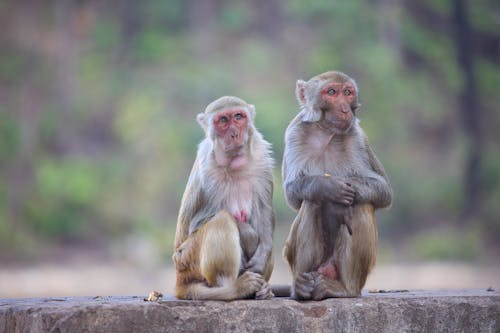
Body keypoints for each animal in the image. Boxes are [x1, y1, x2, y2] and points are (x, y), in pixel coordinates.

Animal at [171, 94, 274, 300]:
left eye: (238, 116)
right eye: (223, 120)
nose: (234, 133)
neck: (233, 163)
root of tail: (180, 280)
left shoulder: (262, 159)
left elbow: (264, 214)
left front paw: (262, 252)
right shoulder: (207, 173)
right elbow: (198, 223)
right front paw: (248, 234)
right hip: (186, 260)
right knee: (222, 220)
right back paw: (233, 289)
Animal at [282, 70, 390, 298]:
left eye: (348, 93)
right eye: (331, 92)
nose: (344, 109)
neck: (326, 132)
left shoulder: (358, 138)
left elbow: (383, 190)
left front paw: (340, 197)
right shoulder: (295, 132)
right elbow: (293, 192)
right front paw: (329, 188)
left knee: (360, 204)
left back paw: (344, 289)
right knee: (311, 200)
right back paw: (302, 288)